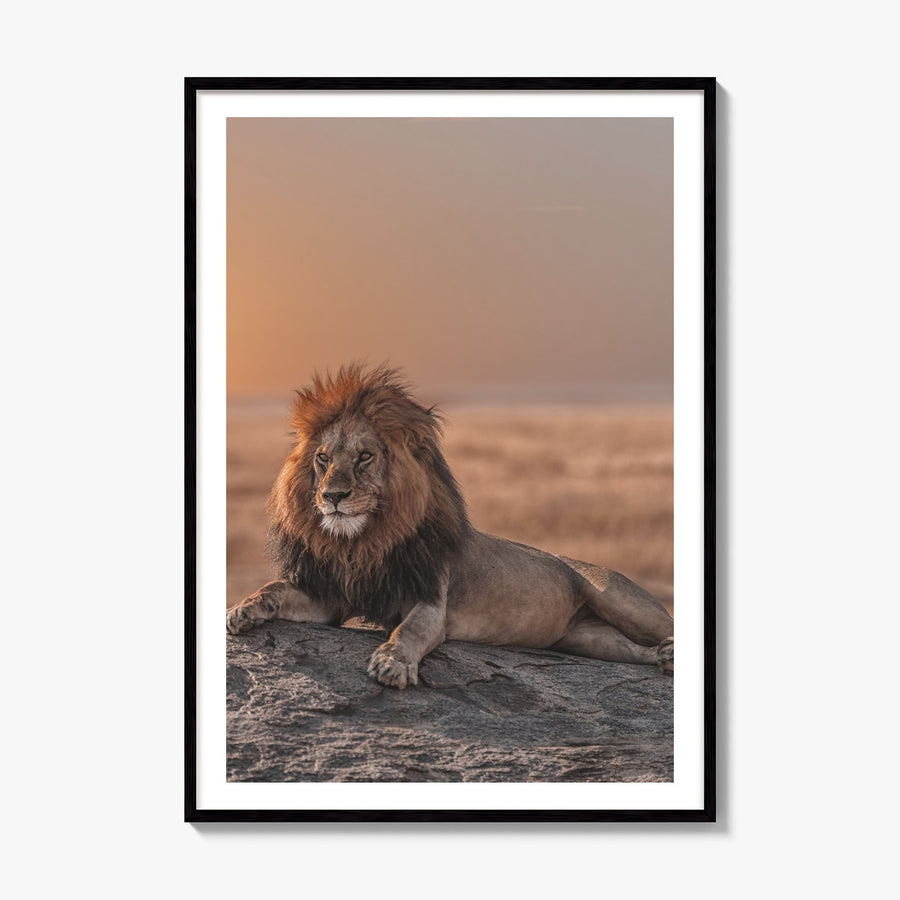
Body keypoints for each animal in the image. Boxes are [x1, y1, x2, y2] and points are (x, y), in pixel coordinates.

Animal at [226, 364, 674, 688]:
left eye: (365, 456)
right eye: (322, 458)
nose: (333, 496)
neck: (363, 542)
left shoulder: (428, 602)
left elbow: (406, 632)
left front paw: (392, 664)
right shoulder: (332, 597)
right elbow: (275, 589)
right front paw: (243, 609)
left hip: (619, 599)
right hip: (586, 637)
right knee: (631, 650)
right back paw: (663, 658)